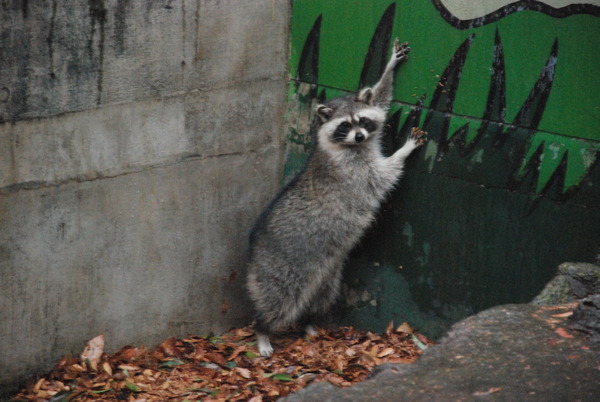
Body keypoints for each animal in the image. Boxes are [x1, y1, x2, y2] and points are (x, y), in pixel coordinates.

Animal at [246, 37, 424, 356]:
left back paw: (309, 323)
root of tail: (254, 250)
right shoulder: (353, 171)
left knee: (320, 298)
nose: (360, 136)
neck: (353, 147)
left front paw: (388, 69)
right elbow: (383, 176)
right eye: (344, 126)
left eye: (363, 121)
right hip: (282, 267)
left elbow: (381, 99)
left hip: (327, 275)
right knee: (277, 300)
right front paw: (404, 150)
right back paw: (262, 331)